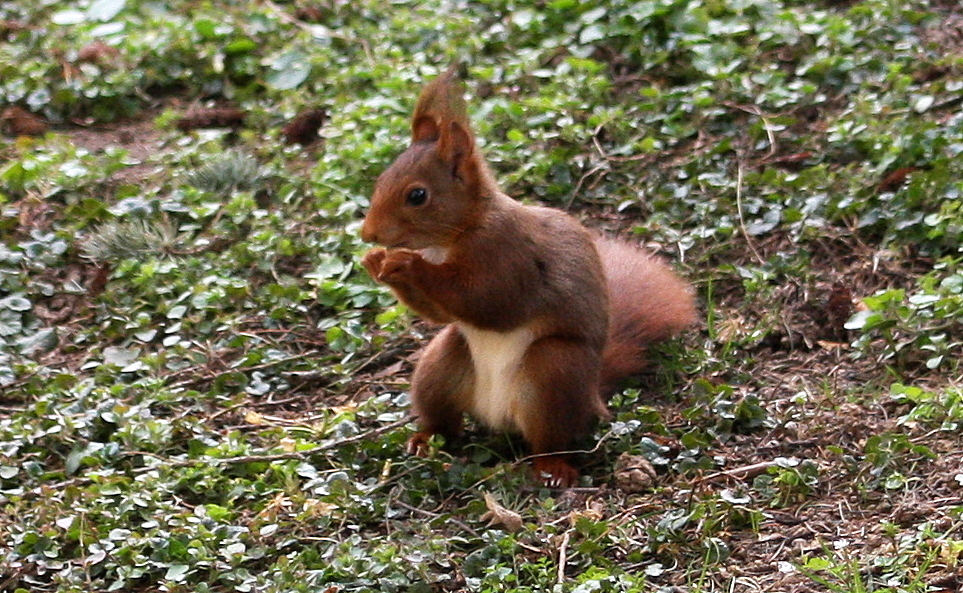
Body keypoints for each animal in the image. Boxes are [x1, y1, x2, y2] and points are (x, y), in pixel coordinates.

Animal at [360, 68, 692, 486]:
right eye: (379, 180)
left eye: (417, 195)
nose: (367, 234)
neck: (458, 234)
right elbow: (441, 314)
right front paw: (376, 262)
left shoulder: (510, 256)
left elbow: (489, 301)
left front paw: (408, 264)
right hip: (440, 366)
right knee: (445, 420)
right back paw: (424, 439)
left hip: (553, 372)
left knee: (550, 439)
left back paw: (553, 468)